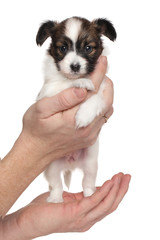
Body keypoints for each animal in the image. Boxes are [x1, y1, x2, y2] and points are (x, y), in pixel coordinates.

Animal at [36, 15, 116, 202]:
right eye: (63, 48)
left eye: (88, 48)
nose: (75, 66)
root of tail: (70, 163)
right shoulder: (48, 93)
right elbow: (66, 83)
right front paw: (81, 82)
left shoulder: (102, 88)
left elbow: (95, 97)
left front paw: (83, 116)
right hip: (51, 167)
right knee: (56, 185)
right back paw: (55, 200)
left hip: (91, 163)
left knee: (87, 182)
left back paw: (90, 196)